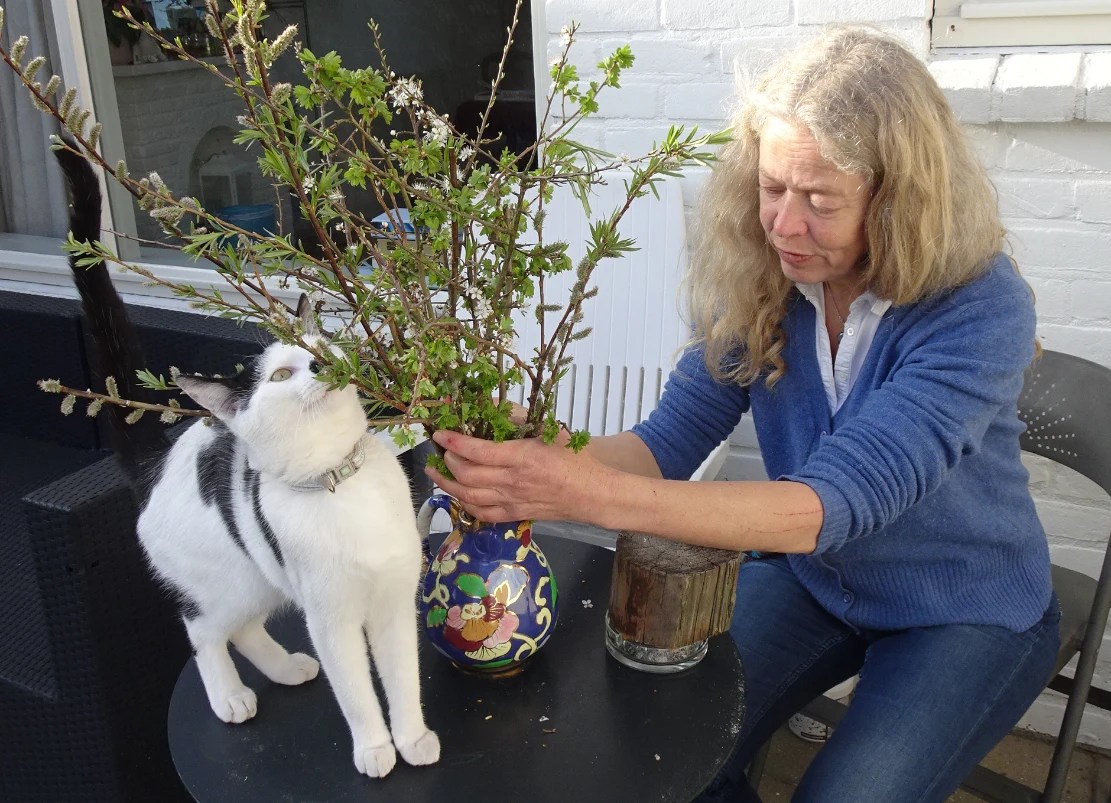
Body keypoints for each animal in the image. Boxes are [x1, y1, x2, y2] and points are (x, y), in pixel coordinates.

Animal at [54, 145, 439, 779]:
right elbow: (357, 691)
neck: (339, 481)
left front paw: (411, 737)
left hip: (259, 577)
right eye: (281, 374)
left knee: (245, 628)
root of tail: (159, 464)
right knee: (203, 630)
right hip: (226, 581)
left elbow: (404, 677)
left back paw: (286, 667)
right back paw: (230, 696)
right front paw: (374, 747)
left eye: (320, 348)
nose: (318, 365)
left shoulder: (392, 602)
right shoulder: (330, 620)